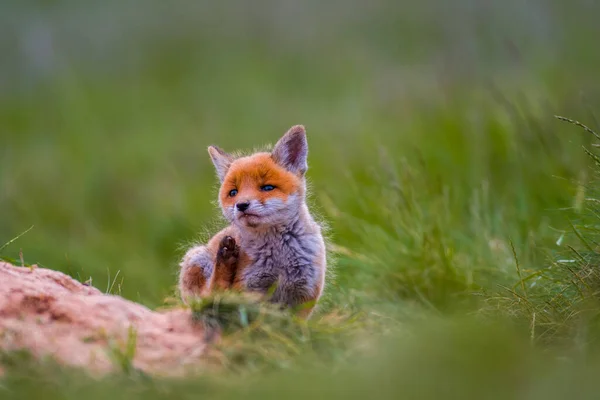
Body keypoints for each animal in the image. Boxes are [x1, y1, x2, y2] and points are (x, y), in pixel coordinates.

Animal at [179, 125, 328, 318]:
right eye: (233, 192)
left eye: (267, 187)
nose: (242, 205)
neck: (279, 259)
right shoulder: (248, 291)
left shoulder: (304, 295)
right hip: (195, 258)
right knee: (210, 297)